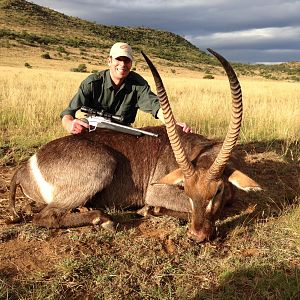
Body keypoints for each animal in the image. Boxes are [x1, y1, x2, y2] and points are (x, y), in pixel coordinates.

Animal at [8, 49, 260, 241]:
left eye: (217, 190)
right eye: (186, 190)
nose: (196, 235)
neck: (199, 151)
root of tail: (25, 167)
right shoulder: (157, 191)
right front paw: (151, 209)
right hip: (103, 164)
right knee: (44, 216)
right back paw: (103, 219)